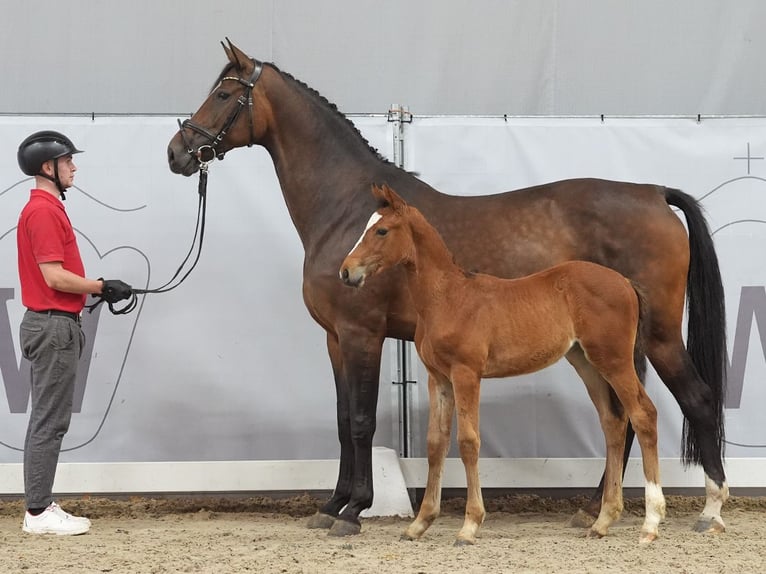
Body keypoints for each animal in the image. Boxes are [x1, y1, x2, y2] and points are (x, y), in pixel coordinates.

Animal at [342, 186, 664, 548]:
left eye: (382, 231)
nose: (346, 272)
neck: (447, 298)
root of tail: (626, 282)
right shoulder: (437, 378)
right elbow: (435, 444)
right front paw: (419, 524)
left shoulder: (466, 374)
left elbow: (468, 442)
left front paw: (469, 526)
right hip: (587, 363)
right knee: (613, 423)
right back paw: (602, 521)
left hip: (615, 360)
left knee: (643, 415)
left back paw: (650, 524)